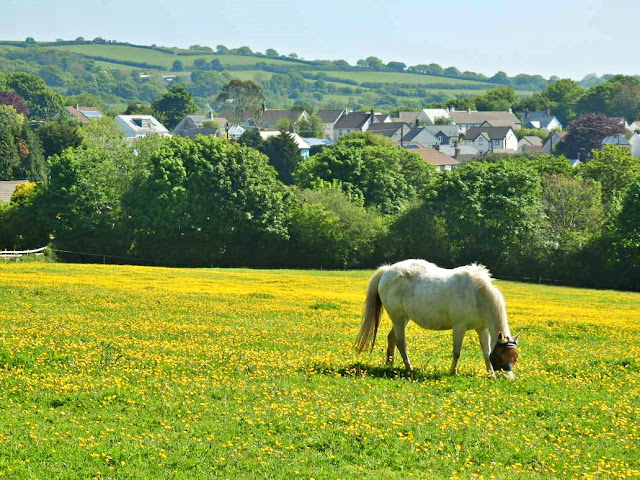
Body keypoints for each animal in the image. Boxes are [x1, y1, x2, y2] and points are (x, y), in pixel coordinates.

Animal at [356, 260, 520, 376]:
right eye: (501, 357)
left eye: (515, 357)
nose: (508, 378)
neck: (476, 293)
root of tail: (387, 270)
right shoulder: (459, 327)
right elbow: (457, 352)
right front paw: (453, 372)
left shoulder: (482, 329)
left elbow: (486, 352)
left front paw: (490, 373)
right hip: (398, 318)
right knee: (401, 344)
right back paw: (409, 368)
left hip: (404, 319)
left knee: (391, 338)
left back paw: (389, 365)